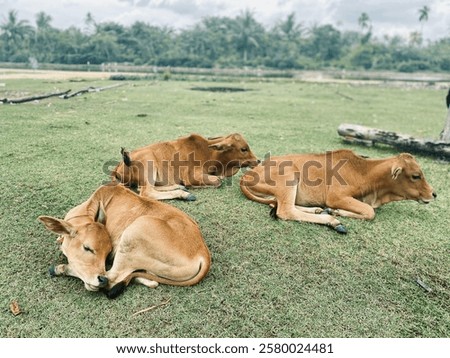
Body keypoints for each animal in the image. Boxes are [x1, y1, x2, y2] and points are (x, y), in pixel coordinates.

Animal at [38, 183, 211, 298]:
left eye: (107, 253)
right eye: (87, 248)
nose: (99, 279)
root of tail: (203, 253)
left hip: (133, 233)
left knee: (113, 279)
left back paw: (60, 269)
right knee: (147, 280)